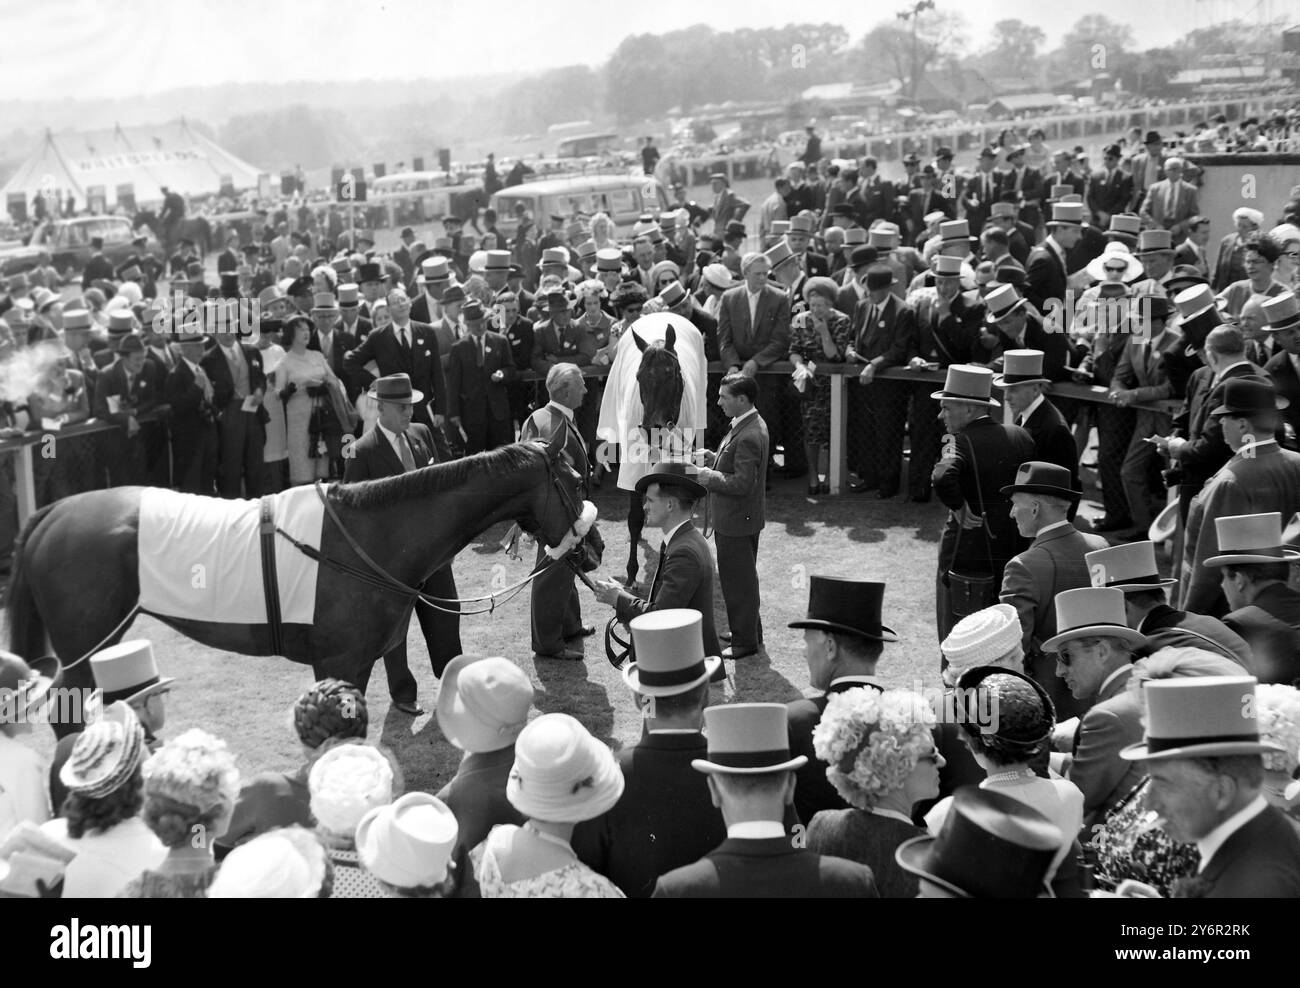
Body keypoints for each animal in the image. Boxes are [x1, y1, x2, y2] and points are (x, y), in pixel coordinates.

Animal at [7, 436, 587, 733]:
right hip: (84, 648)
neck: (369, 534)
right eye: (574, 480)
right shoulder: (339, 660)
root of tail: (53, 511)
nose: (595, 545)